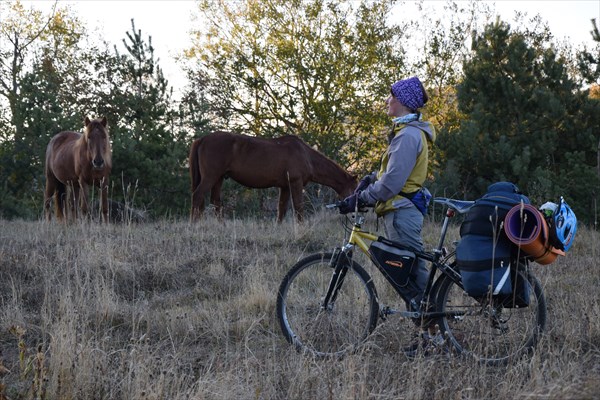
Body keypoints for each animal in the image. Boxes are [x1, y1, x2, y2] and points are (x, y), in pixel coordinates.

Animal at [189, 130, 356, 222]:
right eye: (355, 189)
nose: (356, 209)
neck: (305, 155)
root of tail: (202, 139)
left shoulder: (285, 187)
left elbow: (281, 210)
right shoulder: (295, 183)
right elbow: (298, 208)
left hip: (218, 178)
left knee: (215, 201)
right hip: (211, 177)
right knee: (197, 195)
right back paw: (194, 225)